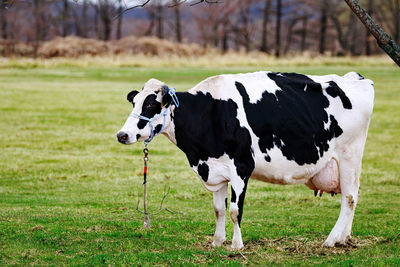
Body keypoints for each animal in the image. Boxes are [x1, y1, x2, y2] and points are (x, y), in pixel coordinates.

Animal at [117, 70, 374, 249]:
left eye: (151, 104)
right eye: (134, 102)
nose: (122, 135)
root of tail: (355, 78)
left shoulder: (241, 167)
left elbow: (234, 210)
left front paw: (236, 245)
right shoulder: (215, 169)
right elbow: (218, 209)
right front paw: (217, 242)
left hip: (349, 156)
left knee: (349, 198)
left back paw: (331, 240)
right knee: (353, 196)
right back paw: (344, 238)